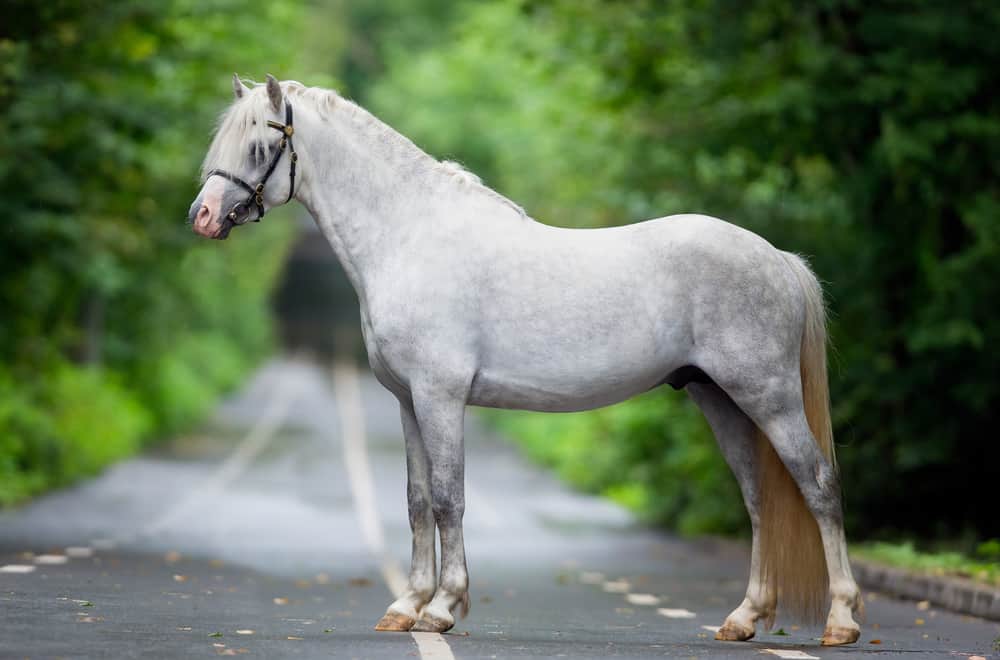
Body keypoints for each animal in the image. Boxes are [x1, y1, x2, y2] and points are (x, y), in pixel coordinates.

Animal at [187, 74, 863, 646]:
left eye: (258, 146)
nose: (203, 217)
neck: (409, 238)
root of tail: (777, 258)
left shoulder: (440, 396)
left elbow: (448, 497)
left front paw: (441, 609)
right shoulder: (407, 400)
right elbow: (415, 500)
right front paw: (405, 606)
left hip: (768, 396)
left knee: (818, 485)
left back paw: (842, 621)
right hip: (718, 398)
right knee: (758, 498)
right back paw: (744, 619)